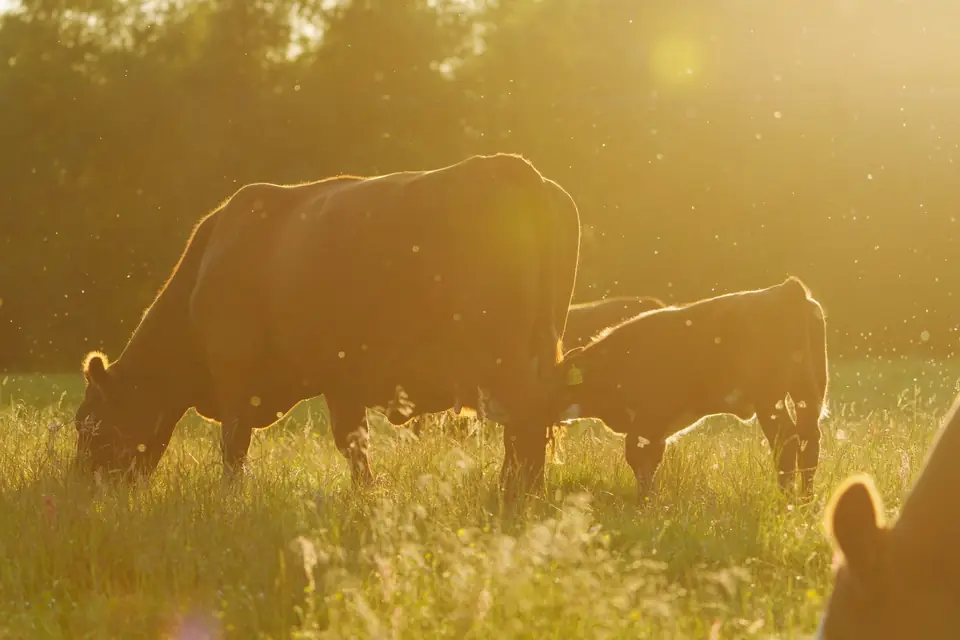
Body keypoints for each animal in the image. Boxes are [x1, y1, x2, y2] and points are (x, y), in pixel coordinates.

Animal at [74, 152, 581, 498]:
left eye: (87, 424)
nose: (83, 488)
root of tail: (506, 166)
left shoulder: (235, 376)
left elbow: (233, 446)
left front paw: (229, 497)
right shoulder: (342, 381)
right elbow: (354, 444)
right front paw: (366, 494)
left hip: (503, 359)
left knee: (525, 425)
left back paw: (514, 494)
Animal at [551, 276, 829, 503]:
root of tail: (785, 289)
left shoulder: (649, 417)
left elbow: (638, 458)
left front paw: (645, 503)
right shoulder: (656, 429)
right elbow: (652, 459)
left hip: (770, 397)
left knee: (787, 442)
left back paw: (787, 500)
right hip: (810, 390)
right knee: (809, 440)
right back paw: (805, 500)